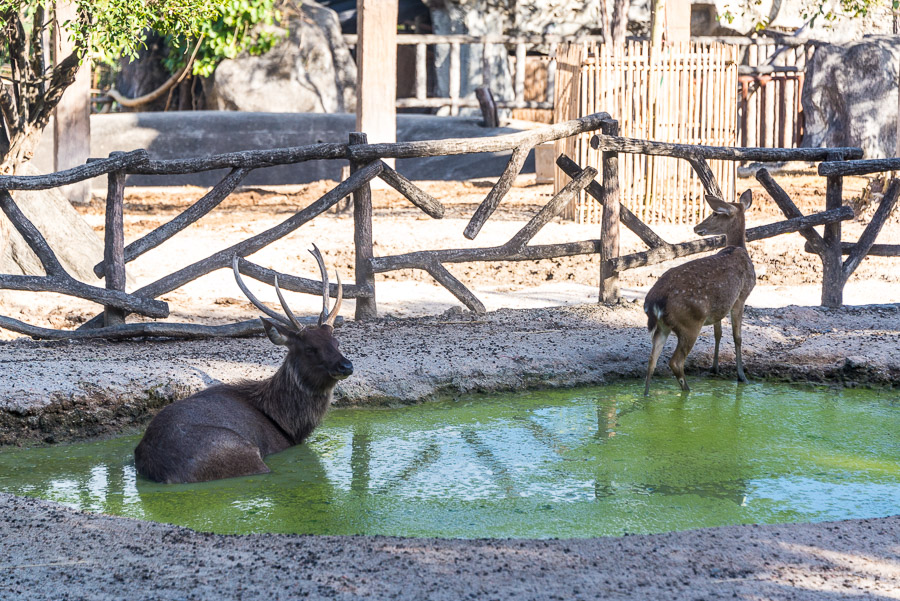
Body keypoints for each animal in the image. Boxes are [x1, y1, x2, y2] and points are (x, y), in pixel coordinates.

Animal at [134, 245, 352, 482]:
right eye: (310, 348)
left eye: (336, 342)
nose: (346, 366)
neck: (289, 425)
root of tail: (166, 471)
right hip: (240, 452)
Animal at [644, 188, 756, 394]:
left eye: (715, 214)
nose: (697, 227)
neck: (738, 248)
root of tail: (654, 303)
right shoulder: (741, 296)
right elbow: (737, 337)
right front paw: (741, 376)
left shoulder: (720, 307)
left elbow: (718, 333)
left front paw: (715, 368)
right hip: (690, 322)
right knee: (675, 362)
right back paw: (687, 391)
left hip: (663, 327)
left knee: (652, 361)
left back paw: (646, 396)